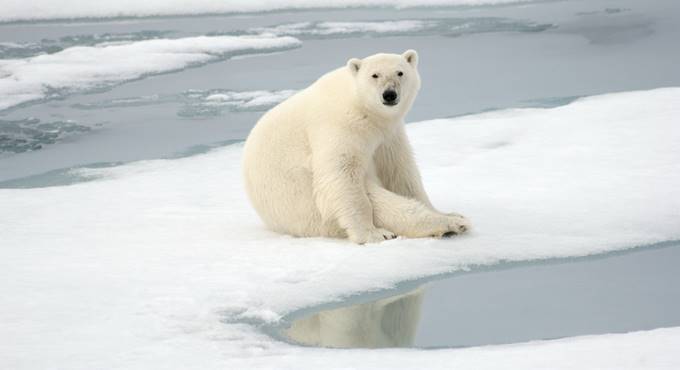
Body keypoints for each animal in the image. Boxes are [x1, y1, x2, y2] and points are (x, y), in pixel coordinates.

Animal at [242, 50, 470, 244]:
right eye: (374, 75)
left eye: (400, 72)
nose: (389, 94)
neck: (365, 110)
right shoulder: (340, 126)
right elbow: (340, 174)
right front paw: (372, 234)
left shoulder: (388, 135)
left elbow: (399, 172)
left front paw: (442, 210)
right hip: (309, 210)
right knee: (377, 201)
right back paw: (448, 225)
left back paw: (453, 218)